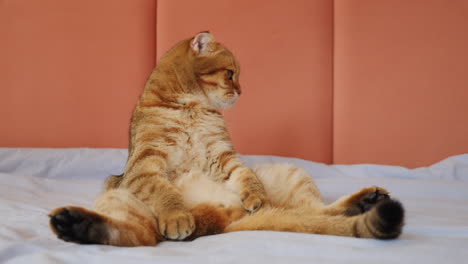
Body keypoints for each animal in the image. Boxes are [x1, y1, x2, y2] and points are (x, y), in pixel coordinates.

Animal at [49, 32, 404, 245]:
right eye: (230, 74)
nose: (242, 90)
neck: (192, 107)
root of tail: (220, 219)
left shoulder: (224, 156)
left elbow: (247, 177)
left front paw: (255, 196)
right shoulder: (146, 166)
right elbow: (167, 195)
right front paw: (177, 215)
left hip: (291, 174)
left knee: (314, 212)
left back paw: (367, 200)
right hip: (120, 196)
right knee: (138, 234)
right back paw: (73, 223)